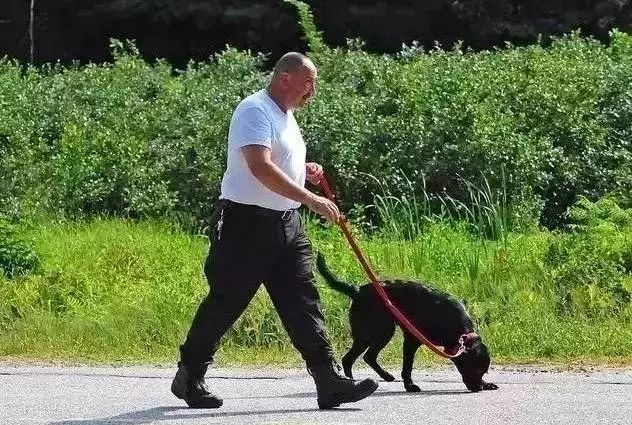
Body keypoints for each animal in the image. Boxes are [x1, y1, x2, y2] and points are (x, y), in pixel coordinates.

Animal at [316, 250, 498, 392]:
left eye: (484, 370)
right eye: (474, 367)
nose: (478, 388)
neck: (456, 327)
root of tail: (357, 291)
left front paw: (486, 384)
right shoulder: (412, 339)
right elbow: (407, 366)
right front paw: (410, 385)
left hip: (373, 334)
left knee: (364, 357)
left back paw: (383, 376)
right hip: (379, 332)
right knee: (353, 358)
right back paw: (354, 382)